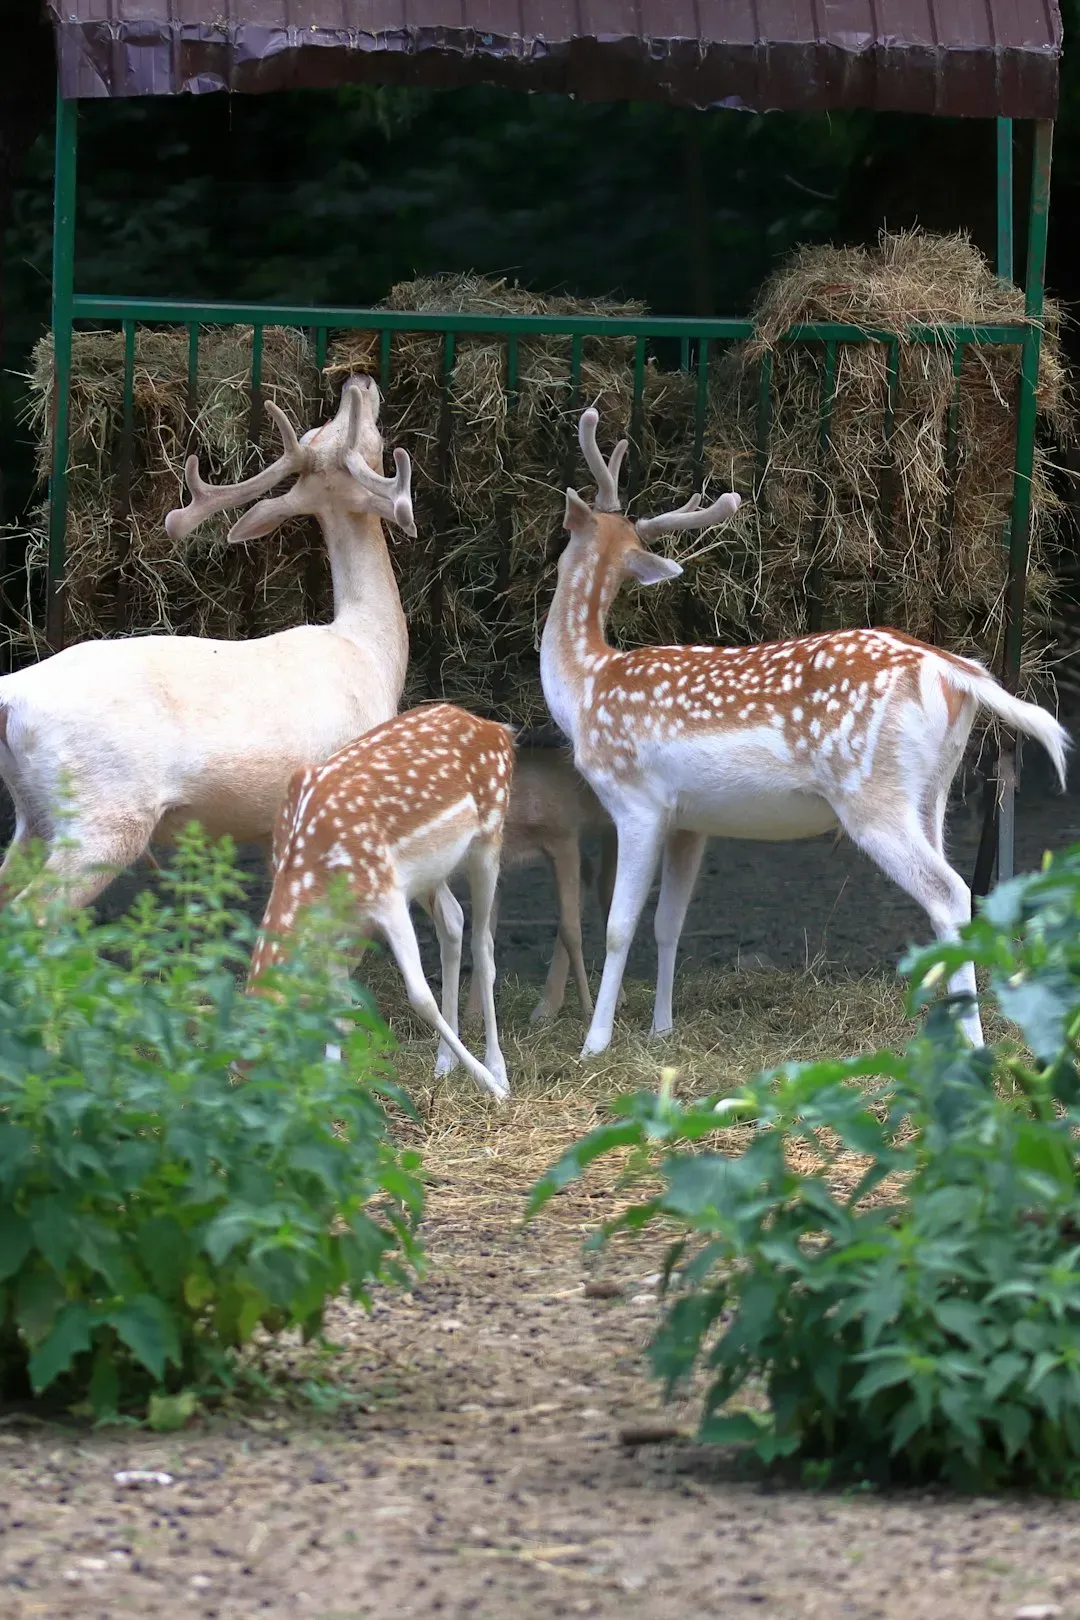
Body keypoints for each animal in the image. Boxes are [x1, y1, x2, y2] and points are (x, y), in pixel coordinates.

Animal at [0, 375, 414, 908]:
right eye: (367, 438)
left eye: (321, 428)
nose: (357, 380)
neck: (370, 648)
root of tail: (12, 696)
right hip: (104, 816)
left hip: (33, 816)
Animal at [248, 702, 515, 1103]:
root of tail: (499, 730)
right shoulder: (337, 919)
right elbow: (337, 999)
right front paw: (330, 1081)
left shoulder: (385, 893)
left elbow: (421, 997)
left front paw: (489, 1085)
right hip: (431, 871)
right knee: (453, 920)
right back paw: (444, 1063)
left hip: (489, 836)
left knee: (484, 946)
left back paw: (499, 1072)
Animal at [463, 742, 617, 1026]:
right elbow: (483, 937)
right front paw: (472, 1016)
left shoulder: (564, 834)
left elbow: (571, 930)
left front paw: (588, 1011)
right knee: (594, 879)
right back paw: (547, 1008)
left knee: (609, 890)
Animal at [540, 406, 1070, 1056]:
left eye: (569, 533)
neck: (586, 686)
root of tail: (956, 672)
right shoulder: (690, 820)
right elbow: (669, 923)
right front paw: (662, 1028)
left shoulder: (636, 800)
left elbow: (619, 926)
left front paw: (595, 1044)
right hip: (931, 793)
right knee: (961, 894)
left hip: (872, 794)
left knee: (950, 893)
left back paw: (972, 1046)